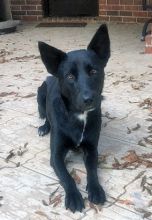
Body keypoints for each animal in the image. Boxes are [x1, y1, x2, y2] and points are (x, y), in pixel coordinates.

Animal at [37, 24, 110, 213]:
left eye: (94, 71)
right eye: (70, 77)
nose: (89, 99)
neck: (78, 116)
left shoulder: (92, 149)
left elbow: (92, 171)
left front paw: (96, 189)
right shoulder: (55, 155)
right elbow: (67, 177)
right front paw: (74, 197)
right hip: (40, 94)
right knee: (45, 116)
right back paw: (43, 127)